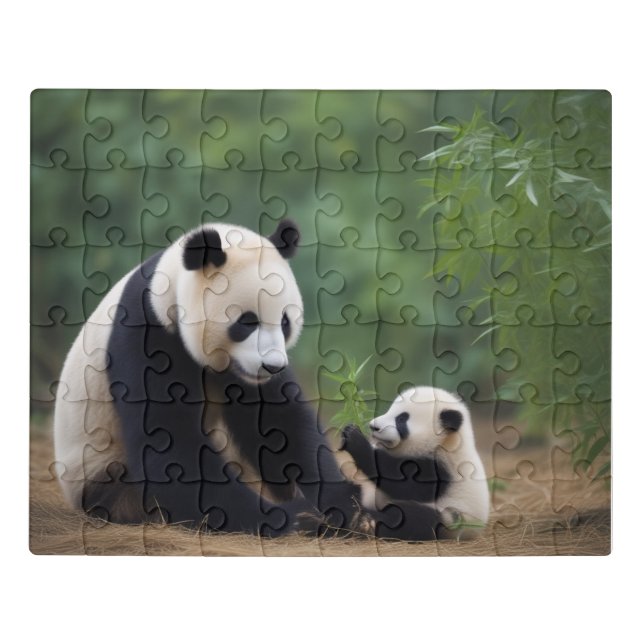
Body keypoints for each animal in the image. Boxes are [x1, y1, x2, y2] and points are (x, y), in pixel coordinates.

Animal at [53, 219, 362, 536]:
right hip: (103, 475)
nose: (272, 366)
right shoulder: (145, 334)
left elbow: (281, 425)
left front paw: (342, 501)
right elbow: (171, 446)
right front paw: (291, 517)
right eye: (247, 322)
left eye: (285, 322)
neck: (168, 288)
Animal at [340, 386, 489, 540]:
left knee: (412, 519)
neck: (448, 442)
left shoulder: (442, 467)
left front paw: (355, 439)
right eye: (390, 410)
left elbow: (408, 486)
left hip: (452, 519)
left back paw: (366, 522)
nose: (373, 427)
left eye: (401, 419)